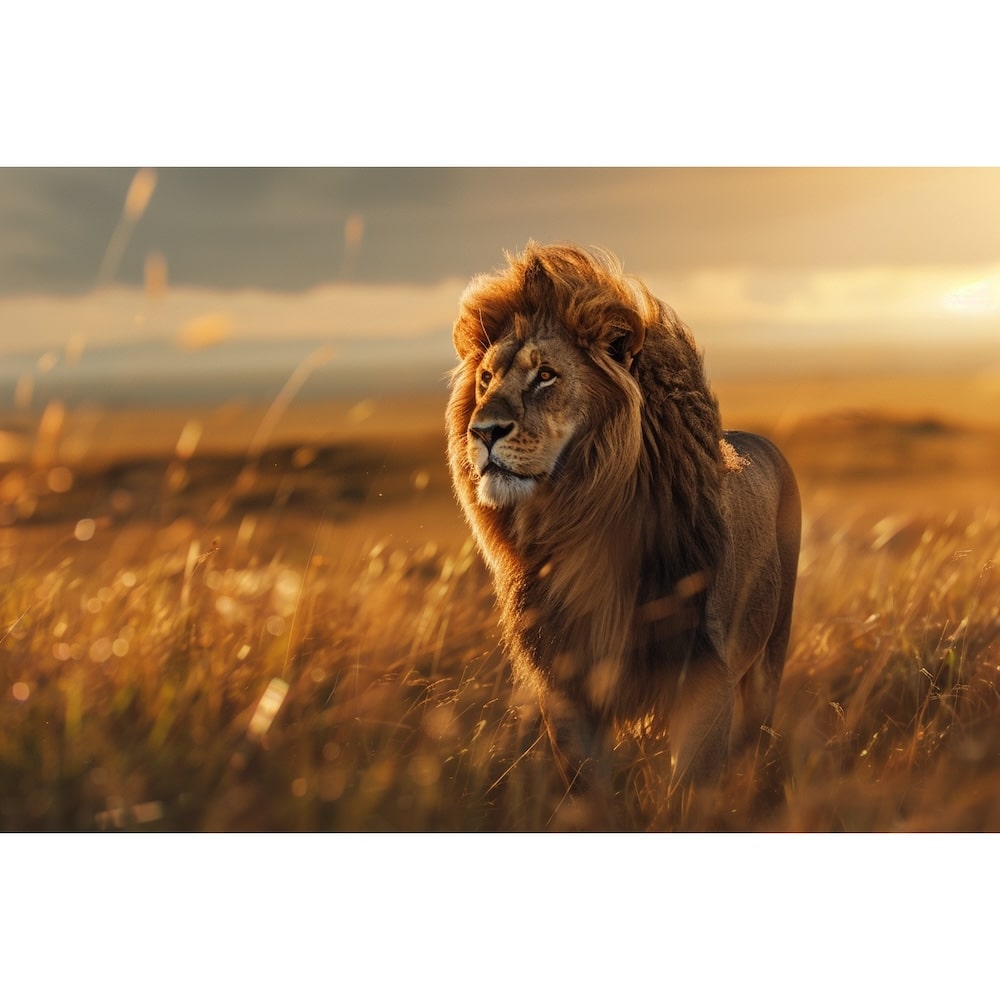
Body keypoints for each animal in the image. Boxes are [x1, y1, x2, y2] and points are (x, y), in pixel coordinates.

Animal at [446, 242, 801, 810]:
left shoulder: (706, 675)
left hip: (771, 654)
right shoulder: (568, 686)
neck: (582, 529)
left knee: (757, 742)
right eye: (485, 379)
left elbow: (688, 798)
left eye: (546, 375)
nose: (482, 432)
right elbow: (589, 796)